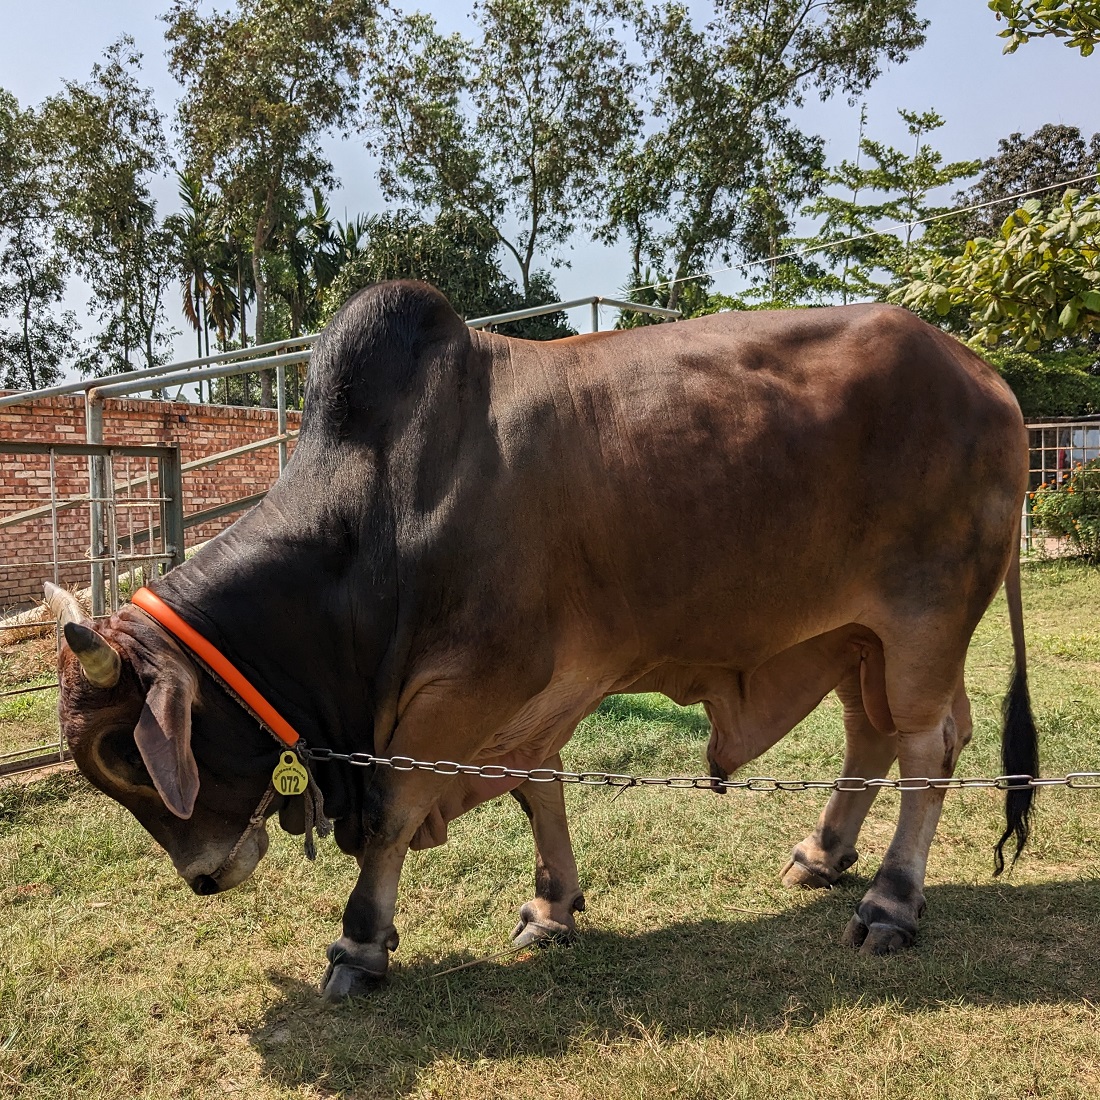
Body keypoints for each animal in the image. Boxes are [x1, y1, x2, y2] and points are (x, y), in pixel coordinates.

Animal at [47, 281, 1034, 998]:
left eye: (122, 753)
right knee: (874, 736)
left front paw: (361, 944)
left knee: (927, 749)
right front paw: (554, 906)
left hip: (925, 620)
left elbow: (394, 818)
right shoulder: (522, 702)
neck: (373, 523)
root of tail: (985, 376)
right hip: (857, 634)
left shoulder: (465, 692)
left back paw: (890, 903)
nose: (204, 878)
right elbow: (537, 789)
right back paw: (822, 855)